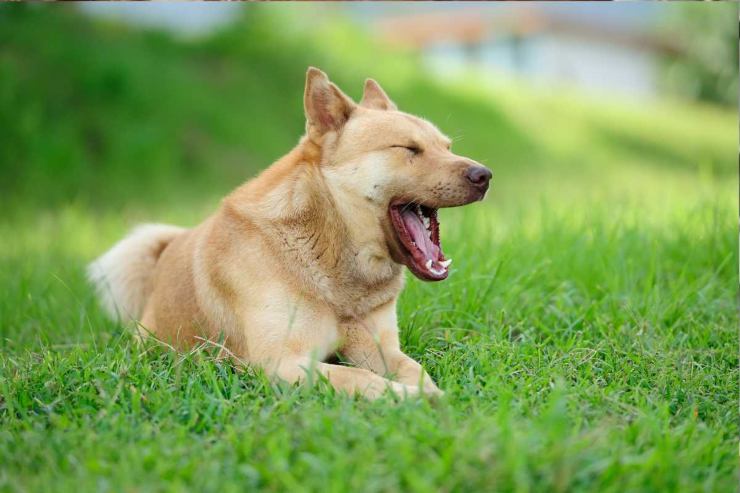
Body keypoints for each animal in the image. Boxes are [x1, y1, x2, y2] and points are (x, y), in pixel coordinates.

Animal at [88, 68, 492, 400]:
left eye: (447, 147)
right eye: (409, 148)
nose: (484, 175)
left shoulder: (378, 347)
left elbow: (413, 368)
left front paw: (429, 392)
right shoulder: (280, 362)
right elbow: (360, 379)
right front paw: (412, 399)